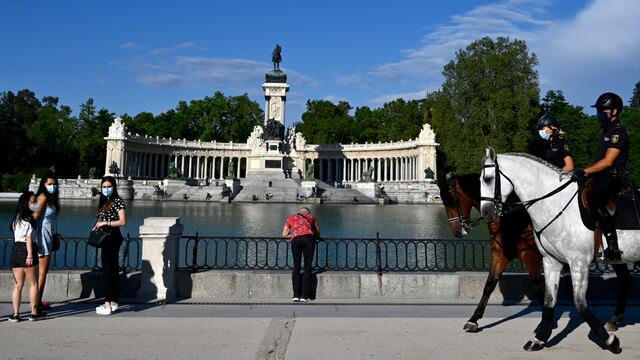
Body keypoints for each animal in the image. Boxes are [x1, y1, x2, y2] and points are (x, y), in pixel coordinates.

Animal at [438, 174, 544, 332]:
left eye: (448, 202)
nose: (456, 232)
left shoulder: (531, 256)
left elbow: (539, 288)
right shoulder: (500, 256)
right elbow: (489, 285)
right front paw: (473, 319)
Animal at [480, 148, 640, 352]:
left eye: (488, 179)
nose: (485, 212)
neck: (554, 203)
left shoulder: (579, 262)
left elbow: (580, 304)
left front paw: (610, 341)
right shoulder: (551, 261)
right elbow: (549, 300)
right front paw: (539, 338)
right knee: (625, 281)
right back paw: (614, 319)